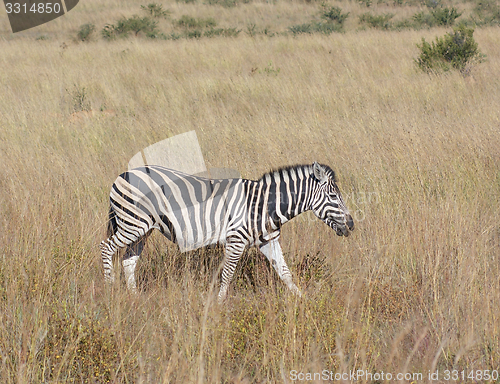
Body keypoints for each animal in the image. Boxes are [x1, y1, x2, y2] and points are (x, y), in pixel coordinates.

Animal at [99, 160, 354, 302]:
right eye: (334, 196)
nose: (351, 225)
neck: (264, 206)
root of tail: (123, 175)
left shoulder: (268, 241)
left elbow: (285, 273)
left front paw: (303, 303)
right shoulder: (236, 240)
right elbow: (227, 275)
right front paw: (220, 306)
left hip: (142, 229)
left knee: (128, 261)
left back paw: (134, 298)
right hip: (133, 224)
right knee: (106, 248)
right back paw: (110, 289)